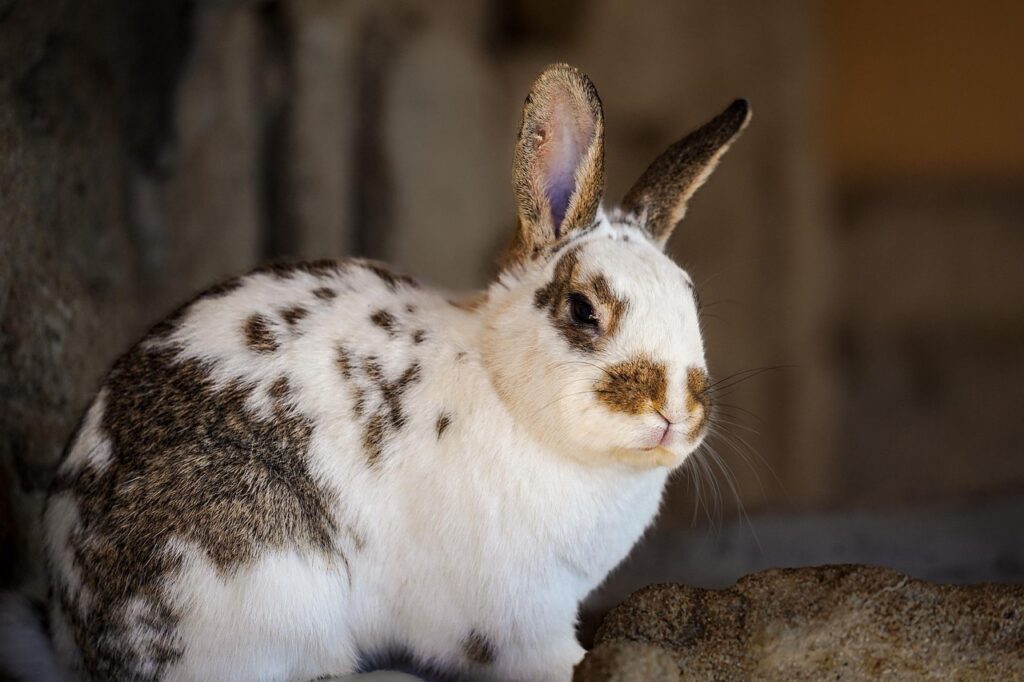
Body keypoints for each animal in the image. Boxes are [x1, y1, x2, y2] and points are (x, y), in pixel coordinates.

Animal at [35, 63, 750, 682]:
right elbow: (546, 659)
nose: (675, 412)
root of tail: (80, 629)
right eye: (582, 309)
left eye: (692, 300)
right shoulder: (518, 616)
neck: (506, 393)